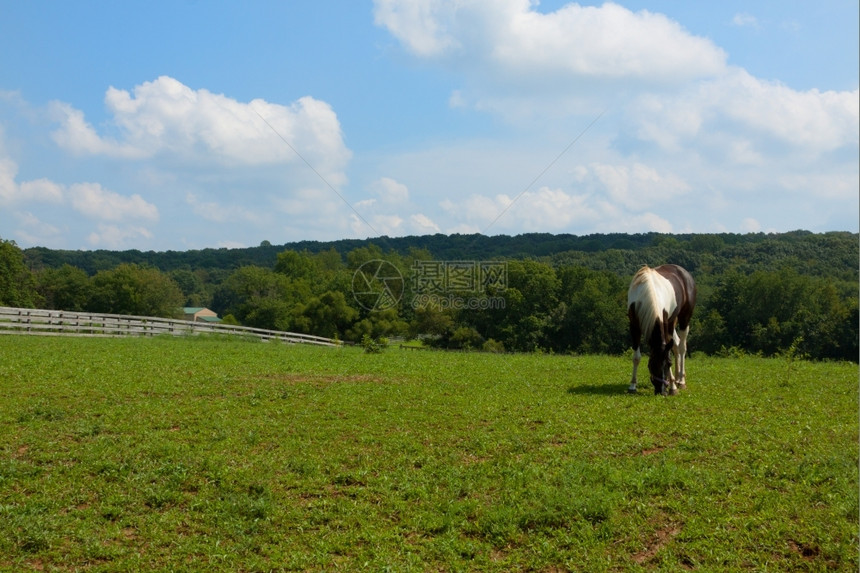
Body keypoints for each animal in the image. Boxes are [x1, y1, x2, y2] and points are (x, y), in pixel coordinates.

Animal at [624, 264, 700, 394]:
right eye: (653, 364)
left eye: (668, 364)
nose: (662, 391)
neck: (646, 292)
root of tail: (683, 272)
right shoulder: (634, 326)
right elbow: (636, 357)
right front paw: (632, 386)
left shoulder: (664, 322)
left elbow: (668, 353)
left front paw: (673, 387)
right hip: (671, 322)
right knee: (676, 345)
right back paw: (677, 379)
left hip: (684, 319)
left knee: (682, 347)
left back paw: (681, 381)